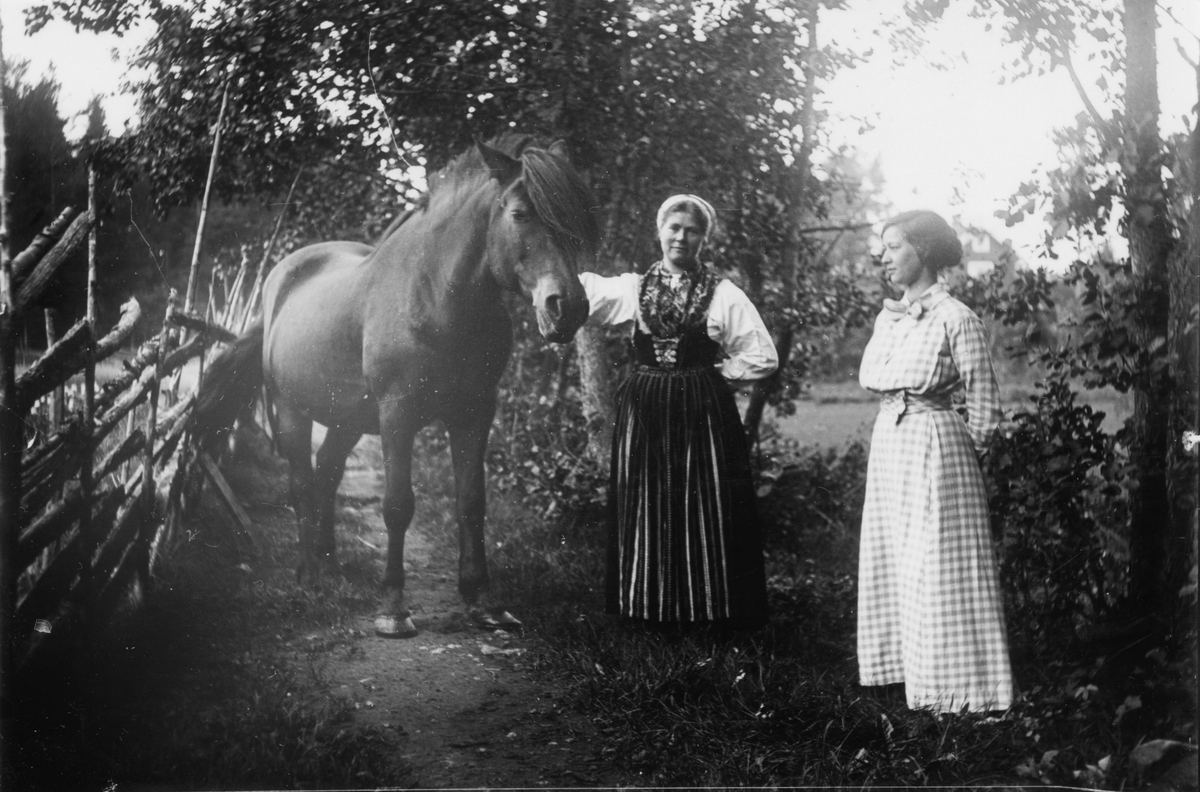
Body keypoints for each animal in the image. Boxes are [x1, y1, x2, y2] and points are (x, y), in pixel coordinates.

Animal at [192, 135, 597, 637]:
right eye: (521, 214)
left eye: (579, 218)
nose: (569, 308)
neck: (438, 296)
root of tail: (280, 280)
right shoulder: (397, 414)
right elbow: (397, 505)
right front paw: (393, 608)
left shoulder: (475, 412)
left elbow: (472, 503)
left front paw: (483, 602)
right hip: (291, 411)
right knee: (302, 483)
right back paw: (310, 575)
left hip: (346, 420)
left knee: (327, 474)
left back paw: (330, 566)